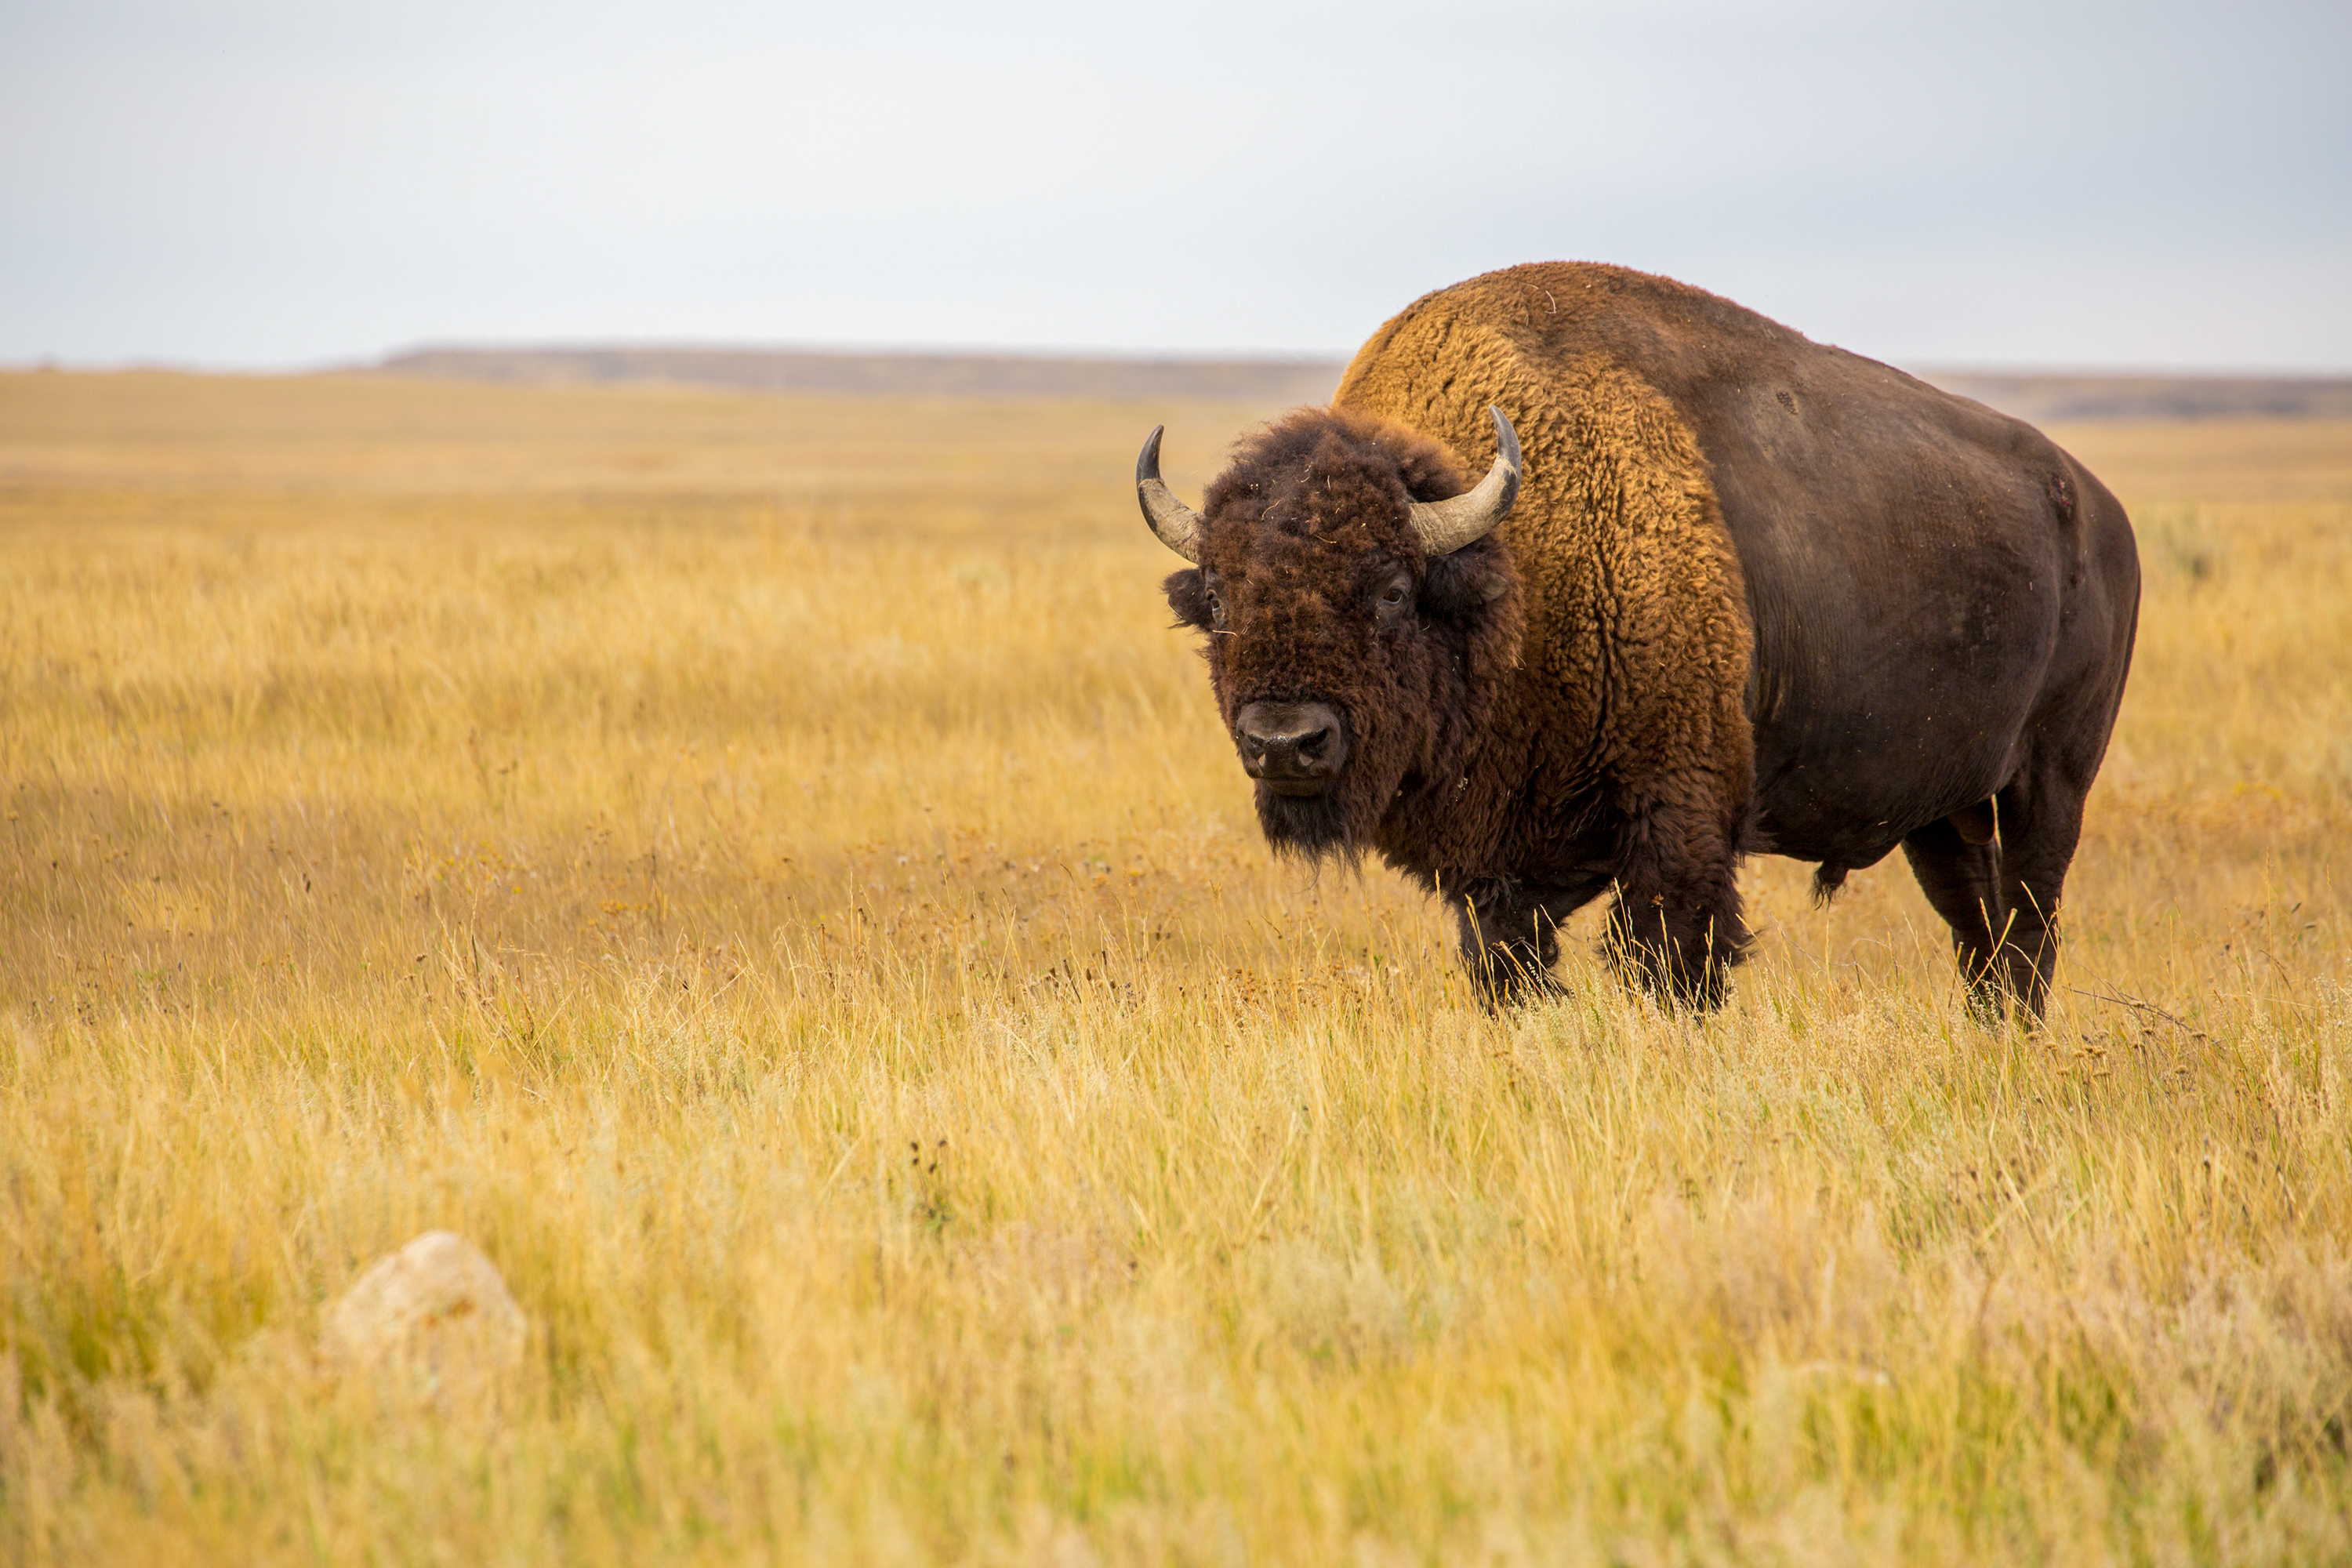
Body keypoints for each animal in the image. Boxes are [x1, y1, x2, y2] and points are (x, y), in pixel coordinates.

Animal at [1129, 260, 2145, 1020]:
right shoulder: (1499, 868)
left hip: (2052, 780)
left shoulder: (1678, 819)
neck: (1512, 569)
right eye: (1217, 597)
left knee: (2030, 921)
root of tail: (2100, 511)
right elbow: (1508, 966)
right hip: (1943, 808)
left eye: (1388, 589)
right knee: (1977, 926)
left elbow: (1673, 964)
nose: (1284, 742)